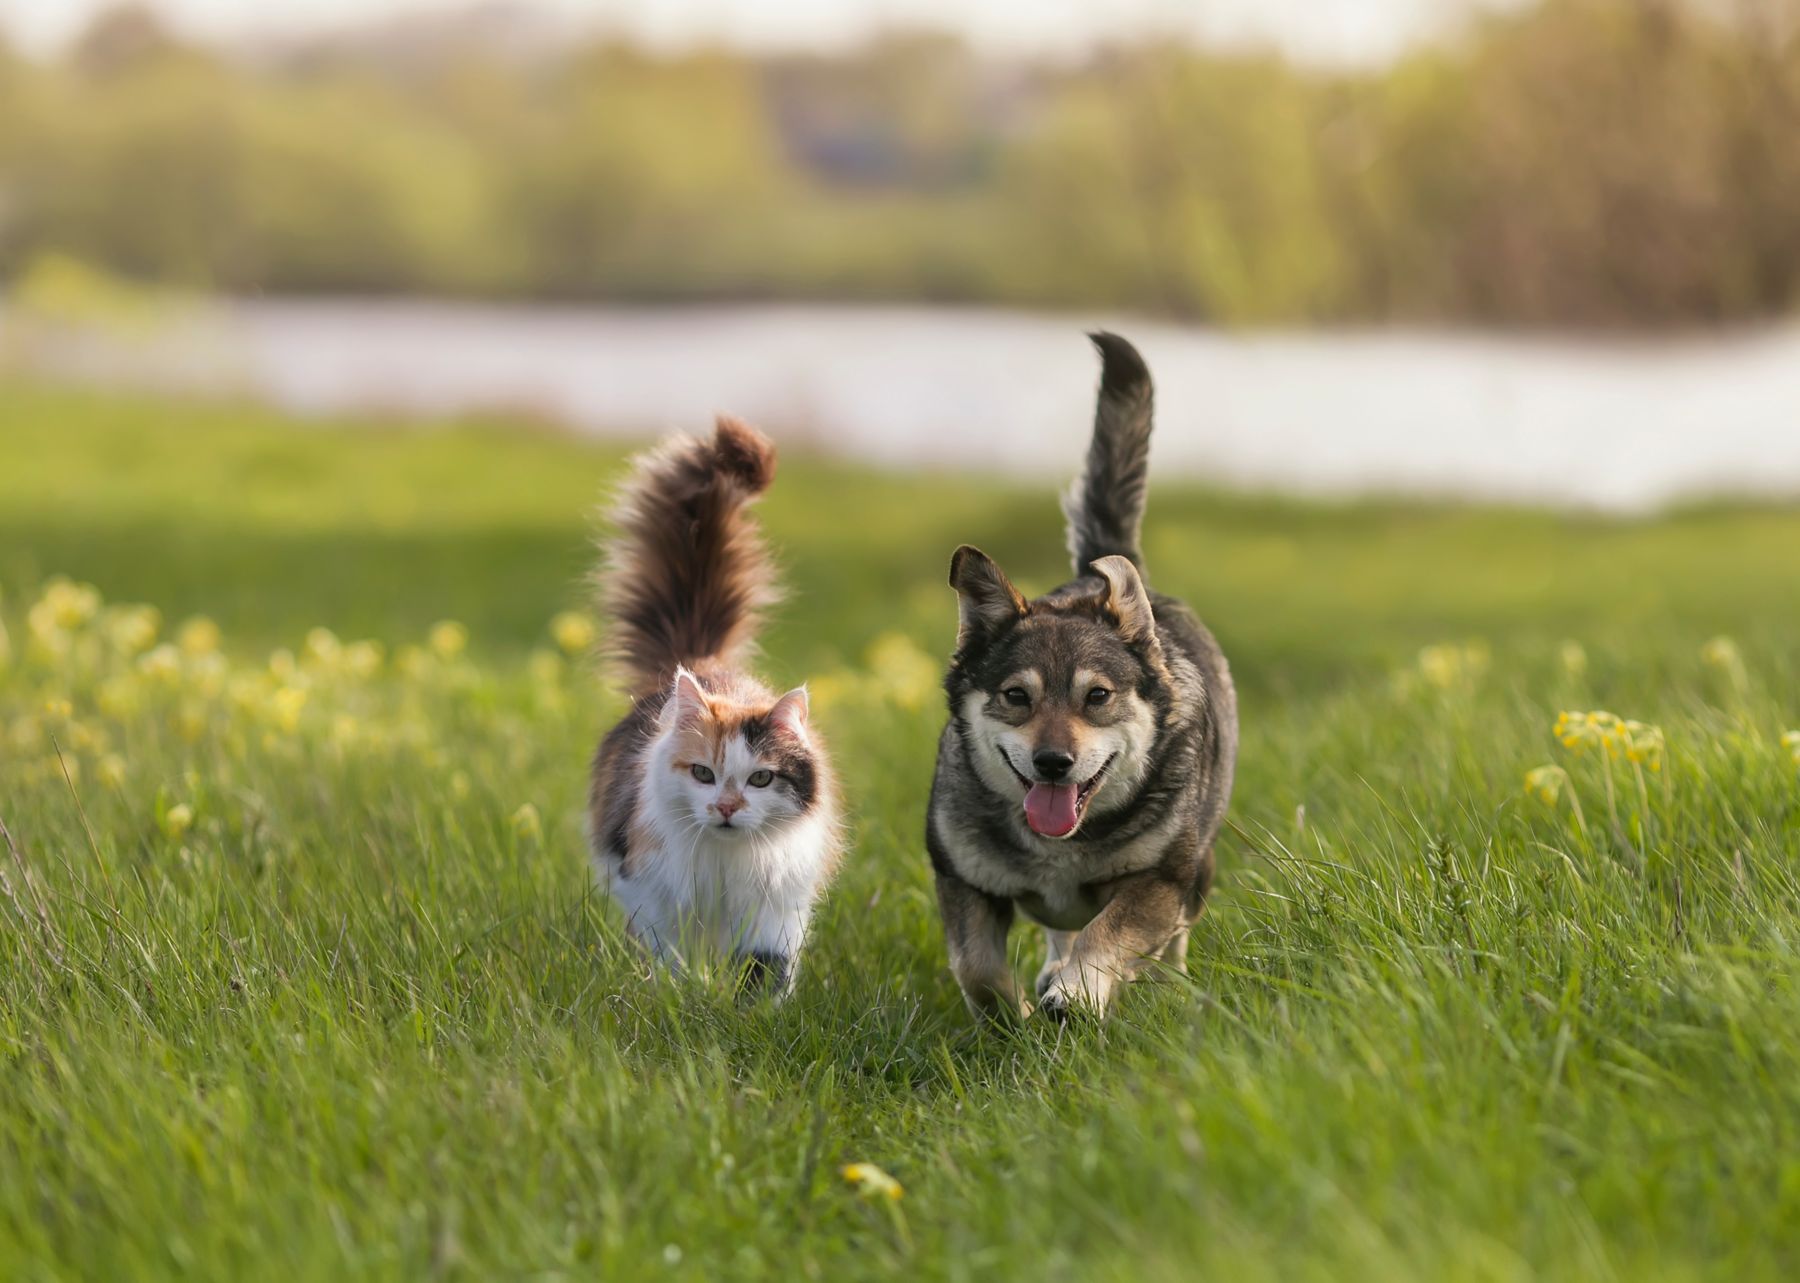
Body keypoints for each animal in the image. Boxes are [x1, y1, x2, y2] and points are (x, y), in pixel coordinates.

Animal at [590, 415, 842, 993]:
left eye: (762, 779)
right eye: (703, 774)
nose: (727, 807)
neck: (725, 864)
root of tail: (702, 661)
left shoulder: (777, 909)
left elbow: (766, 968)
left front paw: (754, 1010)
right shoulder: (649, 891)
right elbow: (668, 958)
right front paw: (680, 996)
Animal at [928, 331, 1238, 1022]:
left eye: (1097, 697)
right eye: (1016, 697)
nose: (1053, 763)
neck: (1060, 847)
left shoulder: (1161, 879)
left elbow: (1111, 931)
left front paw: (1077, 992)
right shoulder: (963, 878)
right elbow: (976, 967)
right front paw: (1009, 1017)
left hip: (1199, 867)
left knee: (1170, 938)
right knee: (1057, 931)